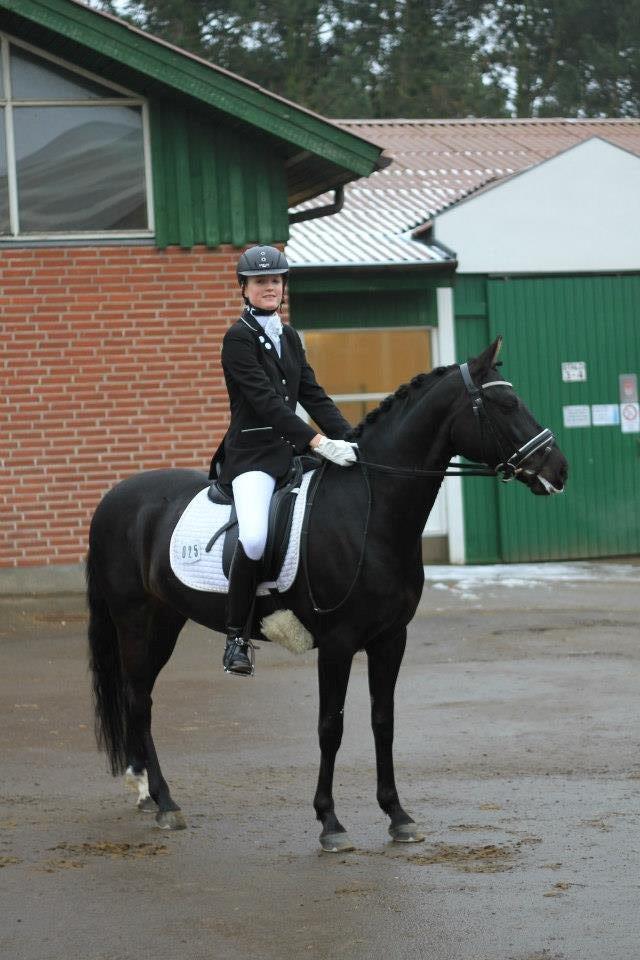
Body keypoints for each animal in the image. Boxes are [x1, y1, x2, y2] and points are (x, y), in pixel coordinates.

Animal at [86, 337, 568, 851]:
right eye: (507, 404)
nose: (559, 469)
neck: (370, 511)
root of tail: (113, 497)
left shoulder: (390, 639)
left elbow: (383, 721)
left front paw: (398, 815)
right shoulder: (337, 644)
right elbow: (330, 726)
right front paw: (330, 822)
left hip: (166, 619)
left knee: (138, 697)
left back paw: (145, 792)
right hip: (136, 619)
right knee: (138, 698)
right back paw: (164, 801)